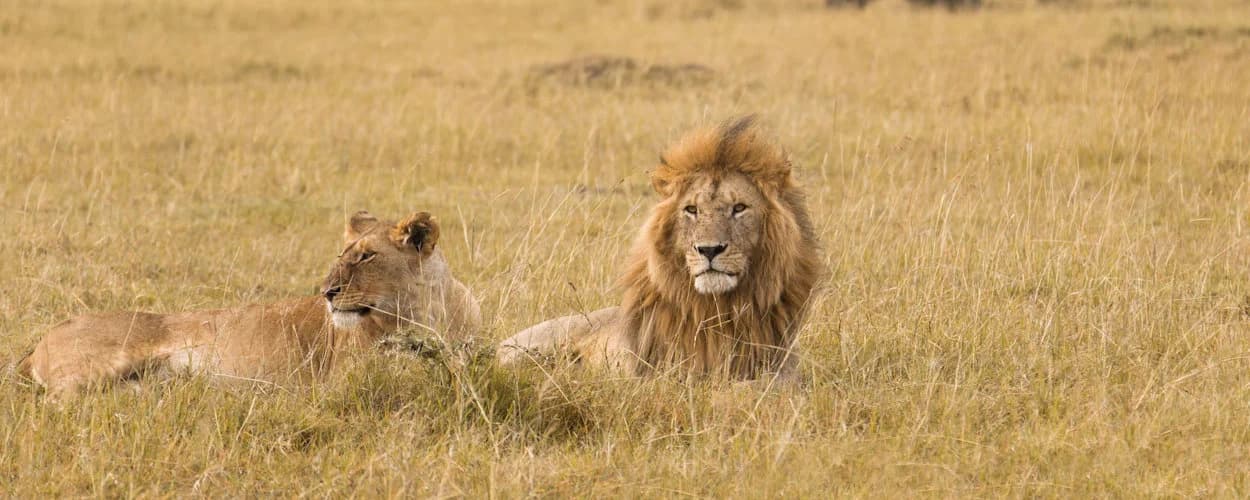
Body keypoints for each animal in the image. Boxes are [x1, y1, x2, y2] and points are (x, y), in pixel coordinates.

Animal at [17, 210, 481, 398]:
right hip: (95, 367)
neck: (427, 312)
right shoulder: (345, 380)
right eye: (343, 254)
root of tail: (38, 343)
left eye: (366, 256)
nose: (327, 292)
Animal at [498, 116, 821, 381]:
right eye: (691, 209)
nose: (709, 250)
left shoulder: (782, 371)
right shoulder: (652, 374)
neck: (717, 310)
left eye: (739, 208)